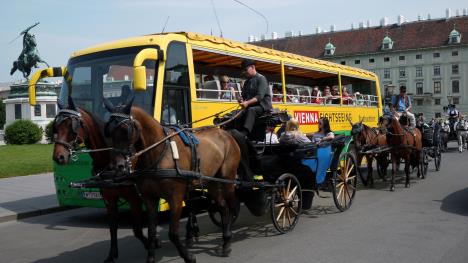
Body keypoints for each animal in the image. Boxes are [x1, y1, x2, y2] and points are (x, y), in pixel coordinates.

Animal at [52, 97, 150, 263]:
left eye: (72, 128)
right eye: (56, 128)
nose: (58, 157)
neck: (109, 161)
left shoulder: (134, 198)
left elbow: (137, 229)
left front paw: (151, 245)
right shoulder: (108, 198)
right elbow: (112, 226)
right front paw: (111, 255)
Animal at [104, 100, 239, 262]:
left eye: (126, 130)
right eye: (108, 131)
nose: (117, 166)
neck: (160, 152)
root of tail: (225, 133)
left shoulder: (175, 198)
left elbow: (173, 233)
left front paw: (188, 256)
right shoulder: (150, 199)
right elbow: (151, 231)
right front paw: (150, 258)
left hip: (227, 180)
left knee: (231, 207)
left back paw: (227, 241)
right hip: (211, 182)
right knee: (223, 207)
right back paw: (225, 240)